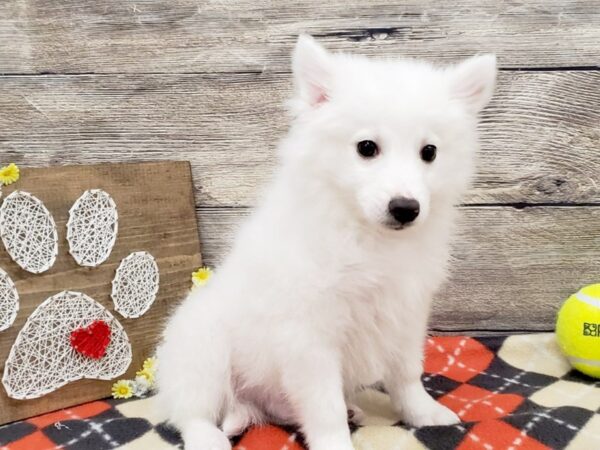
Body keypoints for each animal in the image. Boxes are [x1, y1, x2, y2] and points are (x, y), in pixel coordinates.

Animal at [156, 36, 496, 450]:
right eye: (366, 147)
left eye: (429, 152)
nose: (405, 208)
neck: (366, 235)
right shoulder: (309, 335)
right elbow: (324, 405)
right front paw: (336, 441)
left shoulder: (405, 316)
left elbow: (406, 375)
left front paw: (424, 413)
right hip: (203, 352)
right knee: (193, 412)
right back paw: (209, 438)